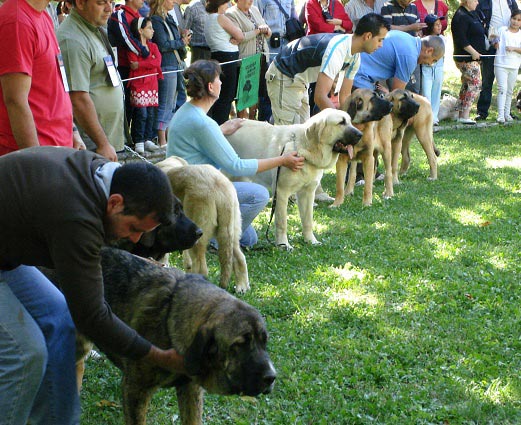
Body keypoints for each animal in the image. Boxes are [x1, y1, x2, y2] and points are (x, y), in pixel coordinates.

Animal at [42, 247, 274, 424]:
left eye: (264, 342)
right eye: (239, 344)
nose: (271, 377)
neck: (171, 315)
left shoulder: (190, 390)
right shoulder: (135, 390)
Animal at [155, 157, 249, 294]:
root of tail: (221, 190)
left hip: (199, 231)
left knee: (202, 269)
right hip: (231, 229)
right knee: (239, 257)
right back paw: (242, 287)